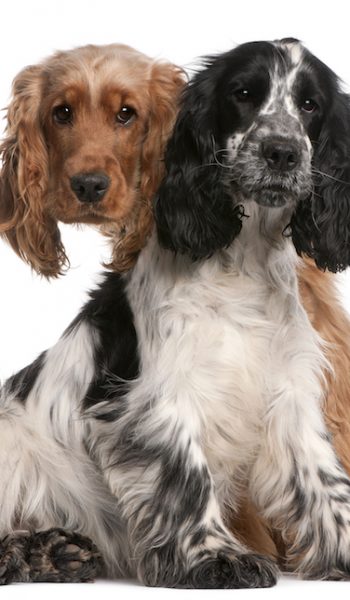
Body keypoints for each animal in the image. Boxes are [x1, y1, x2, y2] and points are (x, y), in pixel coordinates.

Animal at [2, 38, 350, 584]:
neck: (242, 261)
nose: (282, 151)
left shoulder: (290, 391)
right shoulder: (156, 398)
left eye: (310, 104)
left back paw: (55, 551)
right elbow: (185, 477)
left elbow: (324, 482)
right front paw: (217, 558)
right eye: (243, 94)